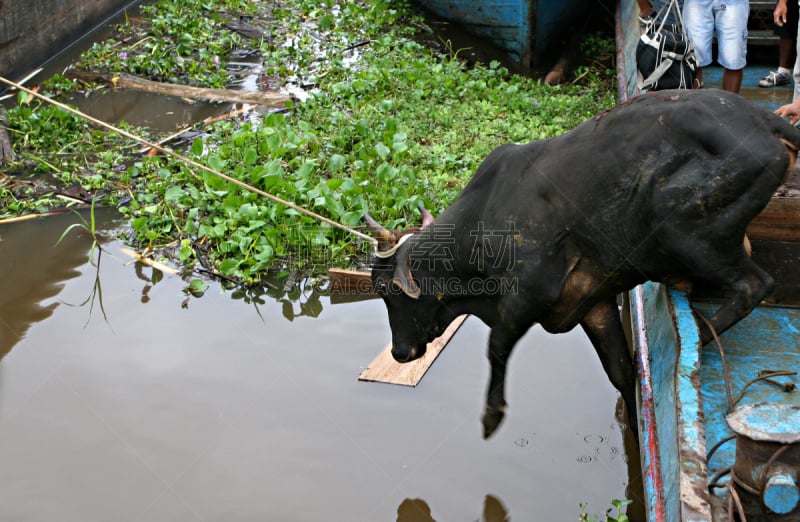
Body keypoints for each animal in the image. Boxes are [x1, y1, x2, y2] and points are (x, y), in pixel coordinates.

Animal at [368, 90, 800, 438]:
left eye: (388, 289)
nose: (399, 353)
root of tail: (764, 120)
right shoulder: (594, 304)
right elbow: (620, 370)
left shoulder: (526, 295)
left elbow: (496, 347)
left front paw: (491, 416)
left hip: (684, 230)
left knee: (754, 285)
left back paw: (704, 335)